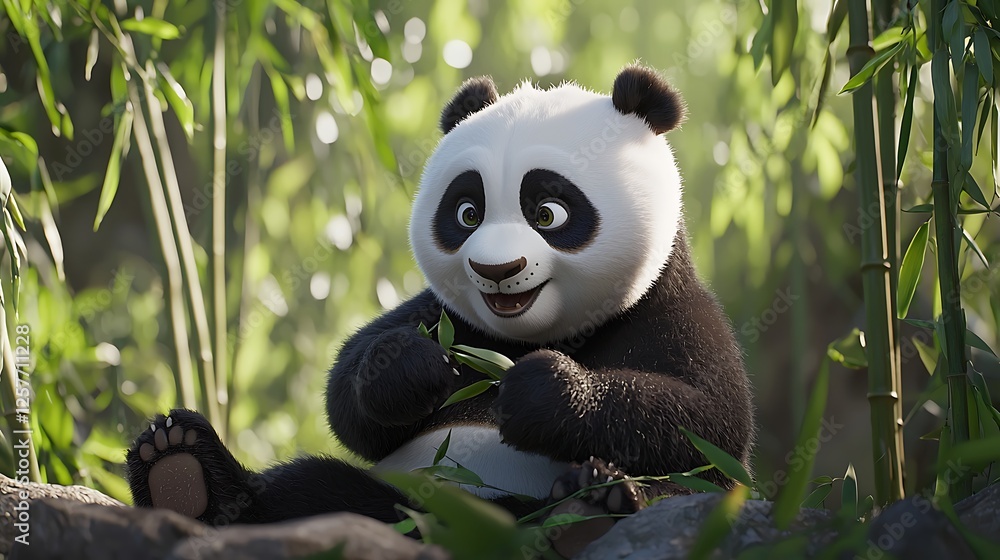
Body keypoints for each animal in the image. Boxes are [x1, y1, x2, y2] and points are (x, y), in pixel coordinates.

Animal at [126, 65, 754, 555]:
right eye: (468, 212)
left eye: (548, 211)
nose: (496, 270)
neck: (533, 334)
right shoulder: (446, 317)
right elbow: (352, 399)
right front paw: (414, 370)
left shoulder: (672, 309)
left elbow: (708, 426)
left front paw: (542, 392)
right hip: (395, 502)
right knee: (310, 494)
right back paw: (181, 471)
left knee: (671, 494)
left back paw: (591, 509)